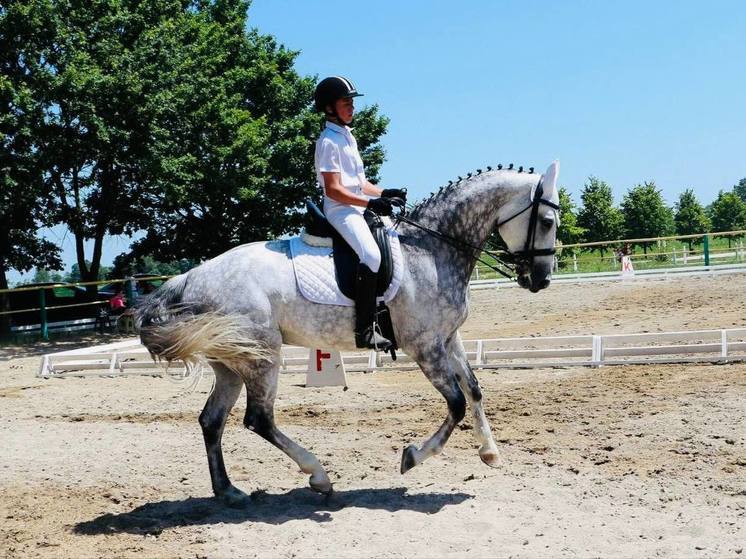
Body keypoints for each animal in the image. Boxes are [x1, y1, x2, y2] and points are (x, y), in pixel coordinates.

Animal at [138, 161, 560, 508]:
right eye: (547, 222)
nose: (541, 279)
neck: (431, 249)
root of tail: (190, 276)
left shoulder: (448, 338)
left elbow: (474, 390)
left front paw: (490, 452)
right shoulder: (424, 346)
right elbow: (455, 403)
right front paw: (412, 457)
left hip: (231, 362)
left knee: (213, 420)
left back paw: (228, 491)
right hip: (262, 356)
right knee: (259, 418)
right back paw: (318, 476)